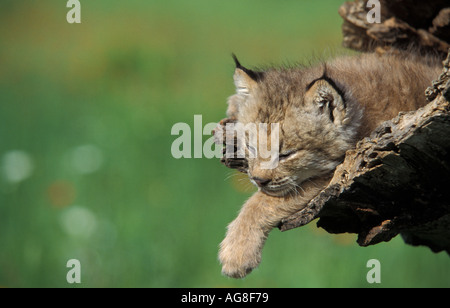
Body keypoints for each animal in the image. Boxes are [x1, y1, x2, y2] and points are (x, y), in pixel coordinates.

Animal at [216, 51, 442, 280]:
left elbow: (263, 202)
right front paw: (236, 103)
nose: (258, 180)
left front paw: (237, 254)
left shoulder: (350, 168)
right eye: (251, 148)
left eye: (287, 154)